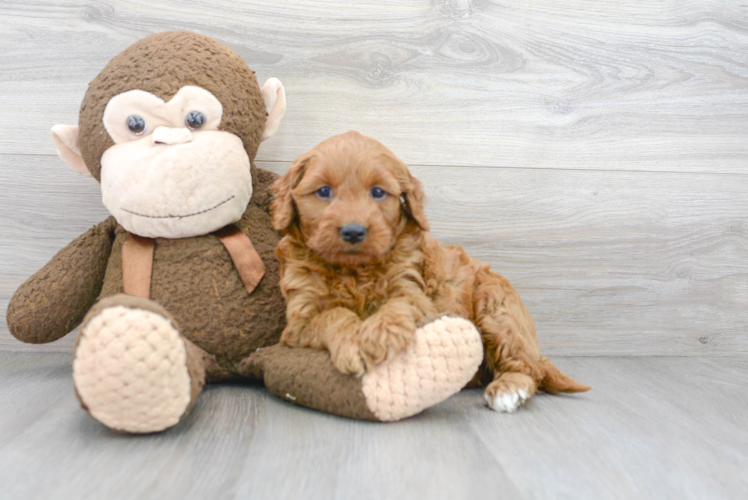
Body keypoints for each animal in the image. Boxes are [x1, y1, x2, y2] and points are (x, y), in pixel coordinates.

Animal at [270, 131, 592, 412]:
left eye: (377, 192)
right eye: (324, 191)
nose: (353, 231)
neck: (353, 271)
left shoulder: (414, 291)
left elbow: (398, 304)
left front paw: (380, 334)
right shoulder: (299, 320)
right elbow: (332, 315)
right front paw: (352, 343)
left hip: (496, 306)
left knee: (528, 366)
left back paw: (509, 388)